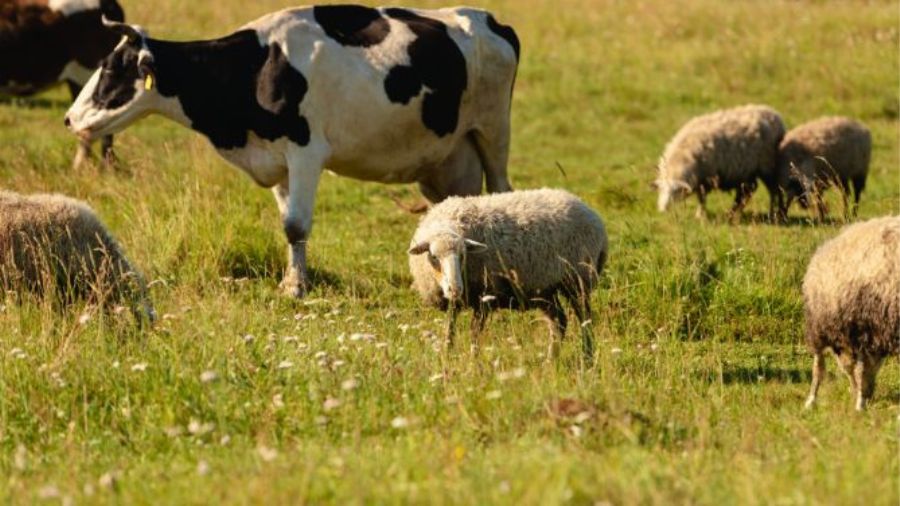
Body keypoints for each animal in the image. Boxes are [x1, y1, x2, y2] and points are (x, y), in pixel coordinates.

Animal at [407, 188, 607, 359]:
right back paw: (551, 360)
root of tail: (591, 212)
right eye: (434, 257)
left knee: (585, 320)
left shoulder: (484, 297)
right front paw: (447, 357)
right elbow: (449, 331)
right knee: (559, 322)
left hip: (578, 279)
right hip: (545, 289)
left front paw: (473, 363)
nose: (455, 289)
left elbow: (474, 334)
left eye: (463, 255)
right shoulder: (454, 303)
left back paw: (587, 358)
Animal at [654, 104, 786, 220]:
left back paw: (775, 214)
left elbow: (702, 199)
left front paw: (700, 215)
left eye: (676, 192)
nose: (662, 210)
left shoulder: (706, 178)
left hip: (767, 165)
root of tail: (775, 114)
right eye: (661, 189)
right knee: (748, 190)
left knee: (774, 190)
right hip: (747, 170)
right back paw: (734, 213)